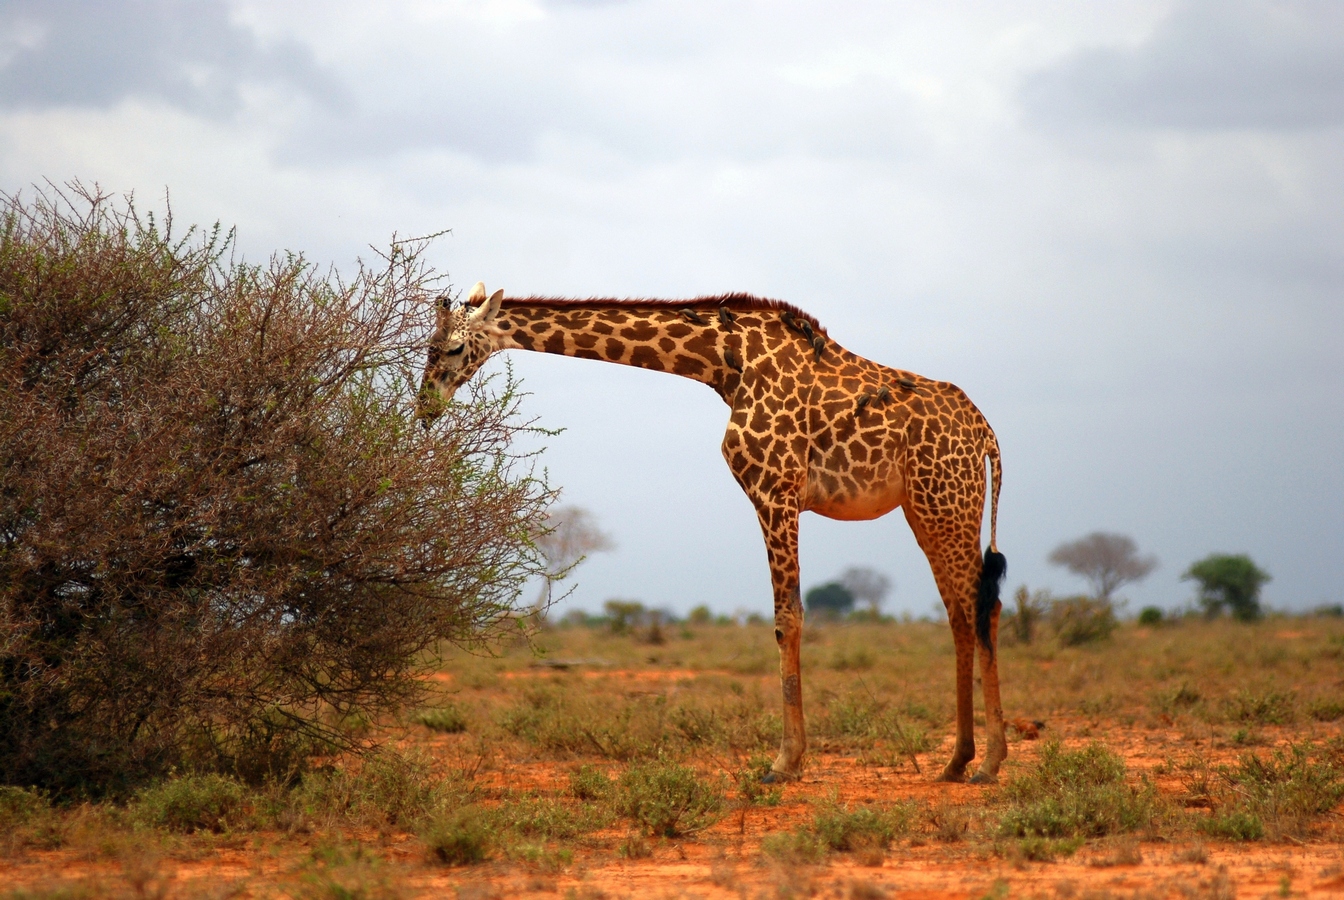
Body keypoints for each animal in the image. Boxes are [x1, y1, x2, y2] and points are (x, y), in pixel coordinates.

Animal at [418, 283, 1009, 784]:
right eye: (428, 347)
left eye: (451, 349)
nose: (425, 407)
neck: (725, 363)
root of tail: (986, 434)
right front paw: (790, 758)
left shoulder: (775, 489)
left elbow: (787, 618)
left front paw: (784, 763)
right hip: (929, 507)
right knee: (963, 612)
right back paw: (958, 761)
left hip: (947, 500)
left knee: (980, 606)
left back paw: (988, 763)